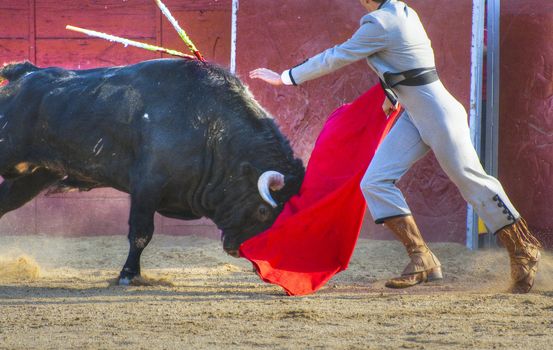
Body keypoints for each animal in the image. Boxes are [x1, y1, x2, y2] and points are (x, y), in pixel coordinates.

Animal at [0, 58, 302, 284]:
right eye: (263, 211)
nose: (236, 250)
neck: (211, 131)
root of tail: (24, 73)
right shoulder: (147, 186)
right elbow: (141, 232)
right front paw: (128, 275)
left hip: (35, 175)